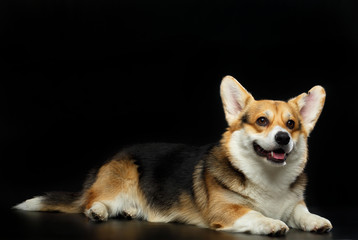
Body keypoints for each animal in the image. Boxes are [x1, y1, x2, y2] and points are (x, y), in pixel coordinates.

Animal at [14, 77, 332, 236]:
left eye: (291, 124)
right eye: (262, 121)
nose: (283, 138)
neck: (268, 179)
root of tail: (109, 159)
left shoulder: (293, 204)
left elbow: (301, 213)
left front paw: (316, 220)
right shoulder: (225, 211)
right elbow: (254, 213)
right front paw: (271, 223)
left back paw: (130, 211)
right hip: (122, 176)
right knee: (90, 203)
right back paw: (100, 211)